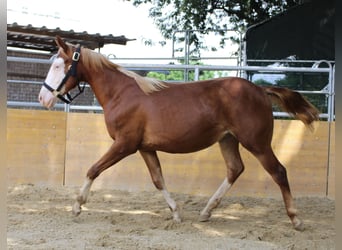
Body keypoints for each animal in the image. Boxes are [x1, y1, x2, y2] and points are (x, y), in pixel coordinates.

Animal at [38, 35, 320, 230]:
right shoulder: (145, 147)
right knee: (235, 169)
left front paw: (77, 206)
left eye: (58, 66)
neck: (122, 93)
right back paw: (206, 212)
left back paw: (296, 220)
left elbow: (93, 169)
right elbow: (158, 180)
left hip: (257, 143)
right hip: (228, 140)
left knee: (278, 172)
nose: (43, 98)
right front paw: (175, 213)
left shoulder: (124, 144)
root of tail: (260, 90)